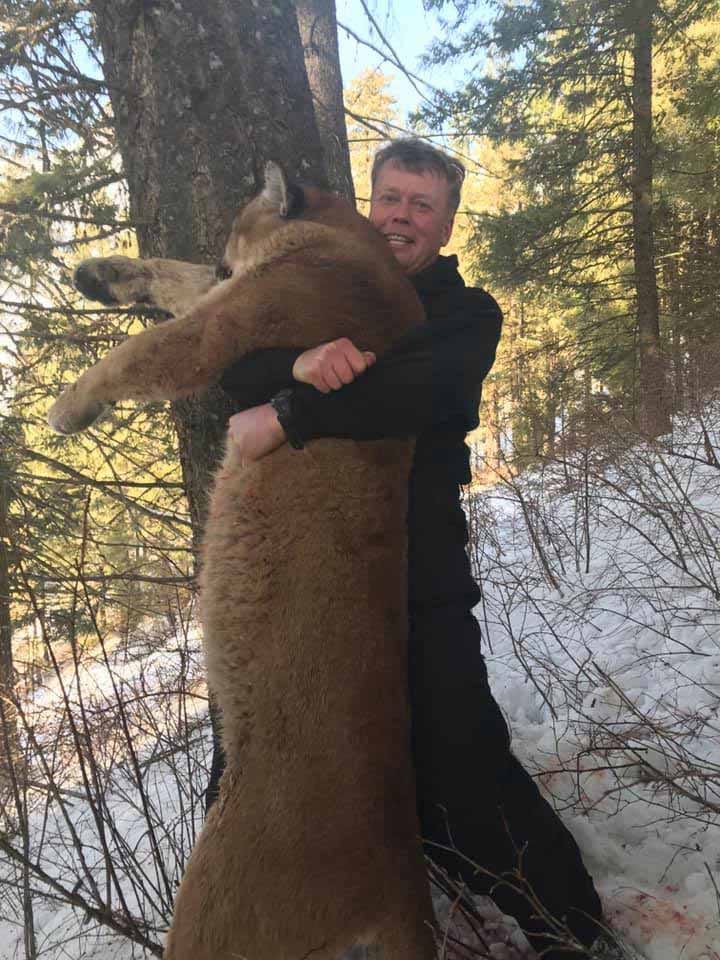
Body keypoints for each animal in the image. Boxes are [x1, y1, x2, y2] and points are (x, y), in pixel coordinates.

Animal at [49, 163, 436, 960]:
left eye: (234, 222)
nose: (228, 253)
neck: (349, 242)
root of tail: (402, 872)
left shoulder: (223, 326)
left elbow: (141, 352)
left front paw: (68, 408)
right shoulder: (225, 296)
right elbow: (180, 276)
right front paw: (102, 274)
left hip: (217, 902)